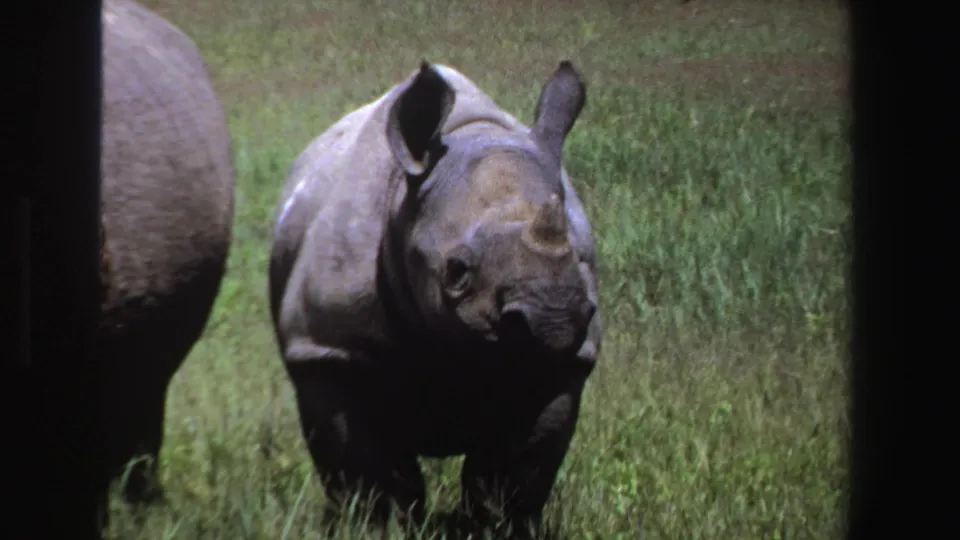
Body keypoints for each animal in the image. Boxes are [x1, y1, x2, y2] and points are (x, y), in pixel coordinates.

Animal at [269, 60, 602, 536]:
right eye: (456, 272)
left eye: (578, 256)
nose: (554, 319)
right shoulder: (329, 350)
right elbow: (368, 473)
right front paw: (378, 529)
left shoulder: (559, 365)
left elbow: (511, 477)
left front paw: (497, 529)